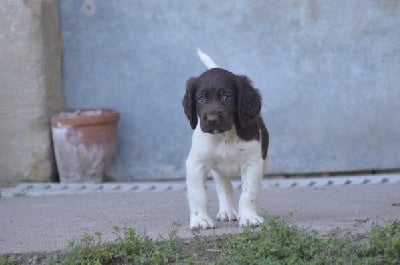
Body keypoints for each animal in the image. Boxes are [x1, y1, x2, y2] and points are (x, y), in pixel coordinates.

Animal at [184, 68, 268, 229]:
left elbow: (248, 193)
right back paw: (227, 211)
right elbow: (198, 194)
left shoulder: (252, 164)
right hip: (218, 170)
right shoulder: (196, 164)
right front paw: (200, 219)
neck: (224, 136)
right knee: (224, 186)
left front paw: (248, 217)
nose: (212, 120)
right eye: (201, 98)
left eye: (226, 97)